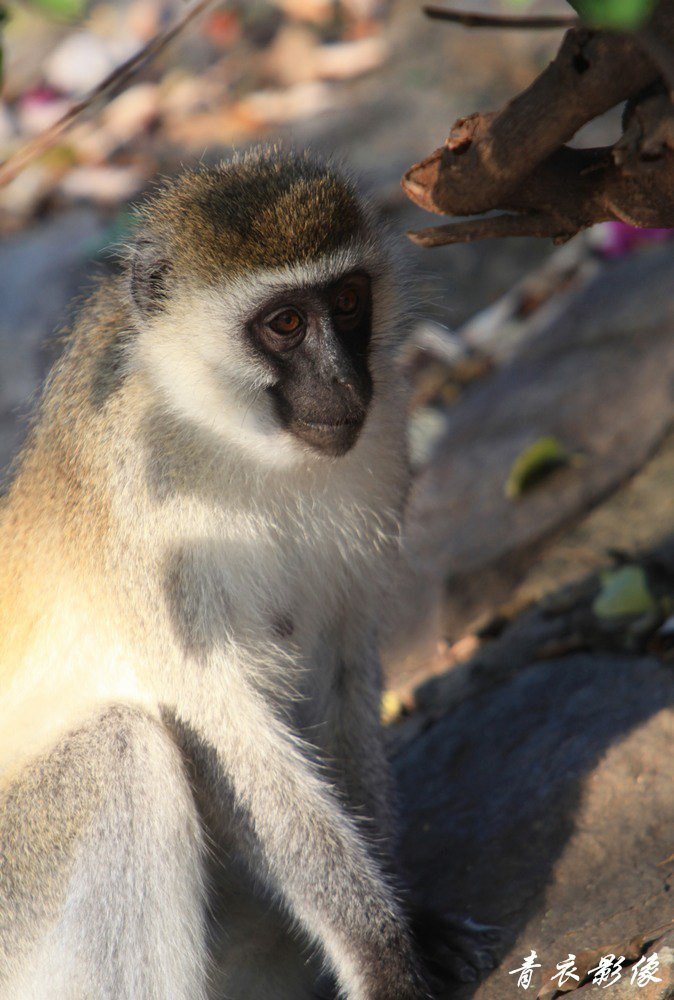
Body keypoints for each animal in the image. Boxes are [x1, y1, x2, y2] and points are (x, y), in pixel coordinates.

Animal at [1, 150, 446, 1000]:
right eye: (286, 324)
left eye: (347, 301)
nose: (348, 384)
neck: (226, 438)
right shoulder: (144, 528)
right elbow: (227, 739)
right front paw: (381, 955)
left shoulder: (375, 447)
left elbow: (339, 662)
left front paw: (414, 918)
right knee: (121, 755)